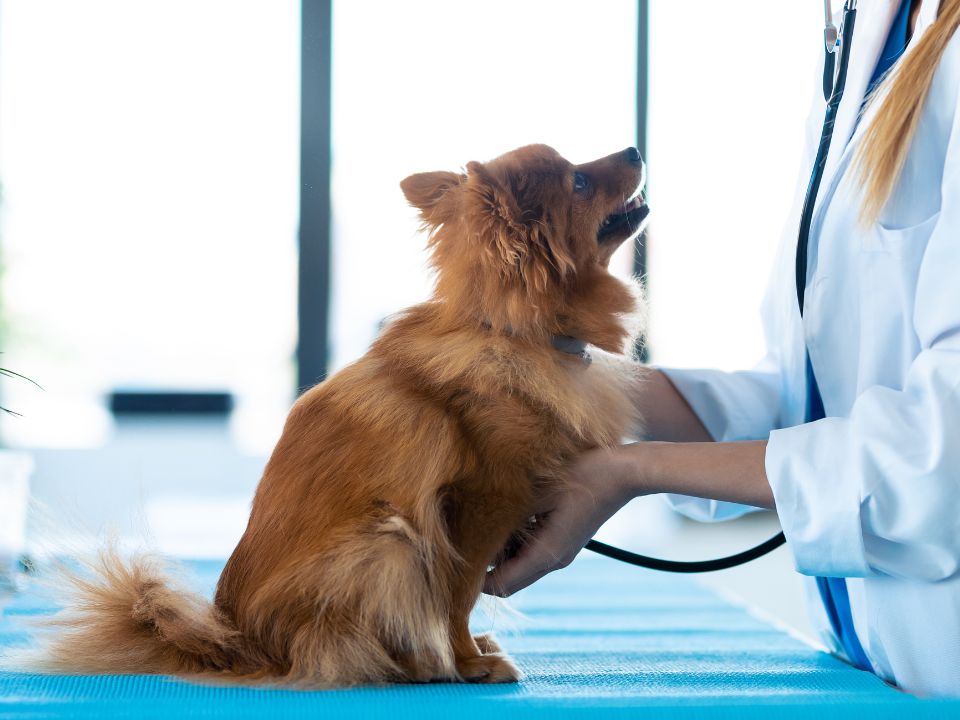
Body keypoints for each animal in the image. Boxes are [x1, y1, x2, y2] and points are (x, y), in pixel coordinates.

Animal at [30, 145, 648, 688]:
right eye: (579, 182)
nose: (635, 149)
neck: (513, 335)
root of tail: (237, 643)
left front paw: (471, 651)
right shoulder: (478, 507)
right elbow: (458, 597)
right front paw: (469, 660)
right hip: (389, 541)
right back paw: (420, 663)